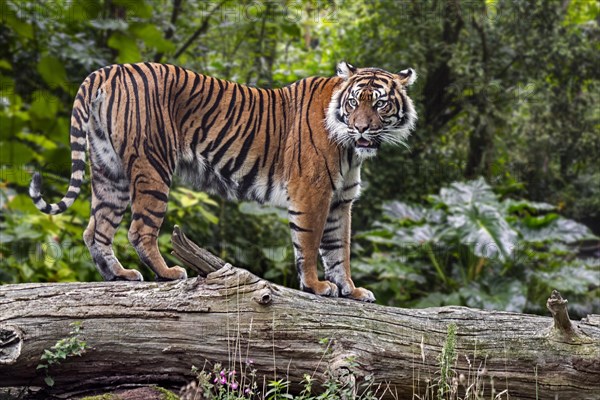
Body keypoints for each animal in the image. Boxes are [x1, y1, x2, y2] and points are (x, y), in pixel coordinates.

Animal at [29, 61, 418, 302]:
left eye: (379, 104)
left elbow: (339, 251)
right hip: (152, 167)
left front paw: (351, 290)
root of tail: (110, 69)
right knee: (139, 230)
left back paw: (119, 275)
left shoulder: (340, 201)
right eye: (353, 103)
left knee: (95, 229)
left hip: (110, 171)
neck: (352, 150)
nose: (362, 128)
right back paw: (169, 273)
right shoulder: (313, 193)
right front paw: (316, 286)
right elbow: (309, 246)